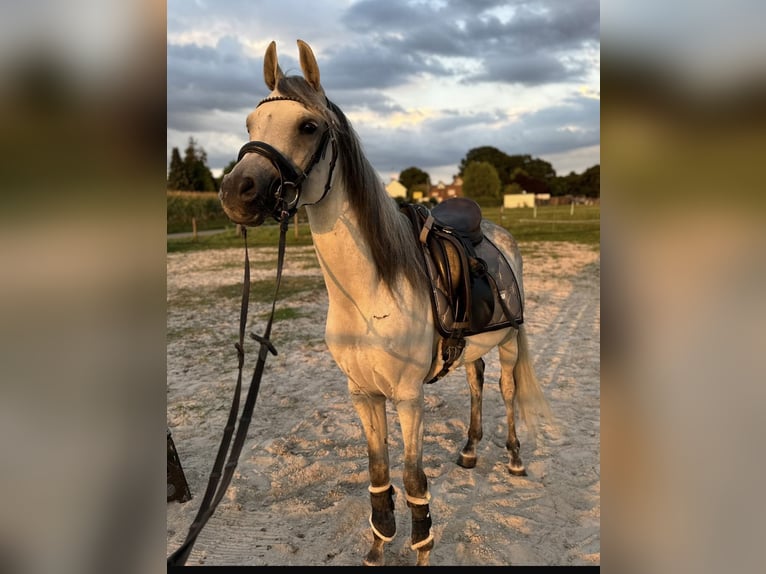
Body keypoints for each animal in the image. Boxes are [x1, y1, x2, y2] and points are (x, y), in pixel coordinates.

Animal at [219, 39, 553, 567]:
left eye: (308, 126)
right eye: (250, 125)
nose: (236, 191)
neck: (367, 294)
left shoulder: (408, 398)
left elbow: (414, 478)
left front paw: (421, 550)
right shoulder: (362, 393)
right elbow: (378, 472)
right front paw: (378, 544)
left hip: (509, 344)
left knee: (506, 390)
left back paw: (515, 459)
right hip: (474, 350)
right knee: (476, 385)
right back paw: (470, 451)